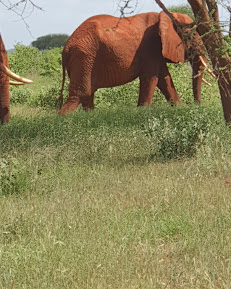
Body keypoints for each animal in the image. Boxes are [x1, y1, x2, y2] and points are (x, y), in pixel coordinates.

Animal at [57, 11, 215, 115]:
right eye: (191, 35)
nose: (196, 106)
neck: (166, 16)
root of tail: (65, 49)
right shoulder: (151, 47)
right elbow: (151, 78)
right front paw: (142, 112)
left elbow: (165, 80)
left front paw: (179, 109)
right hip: (83, 57)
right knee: (78, 96)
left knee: (87, 96)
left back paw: (90, 117)